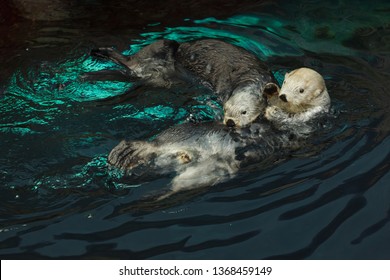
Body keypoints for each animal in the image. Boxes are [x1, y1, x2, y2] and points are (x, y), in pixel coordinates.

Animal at [87, 38, 278, 126]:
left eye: (244, 111)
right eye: (226, 109)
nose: (230, 122)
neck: (251, 74)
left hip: (155, 79)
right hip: (160, 46)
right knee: (129, 59)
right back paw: (98, 54)